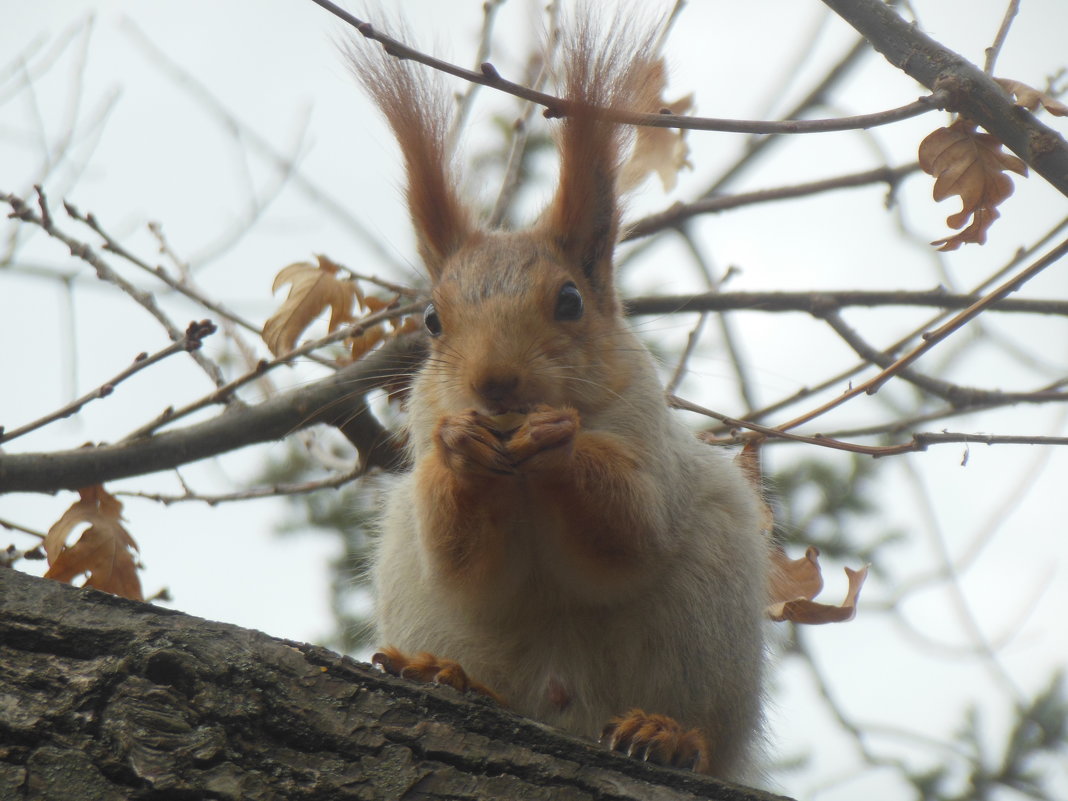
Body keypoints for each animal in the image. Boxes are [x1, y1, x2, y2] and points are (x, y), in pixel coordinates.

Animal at [348, 6, 768, 786]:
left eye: (570, 301)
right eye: (431, 320)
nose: (495, 383)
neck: (520, 479)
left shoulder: (646, 438)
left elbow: (631, 525)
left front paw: (559, 439)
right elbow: (457, 553)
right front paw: (461, 447)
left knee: (703, 734)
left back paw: (666, 734)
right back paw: (446, 675)